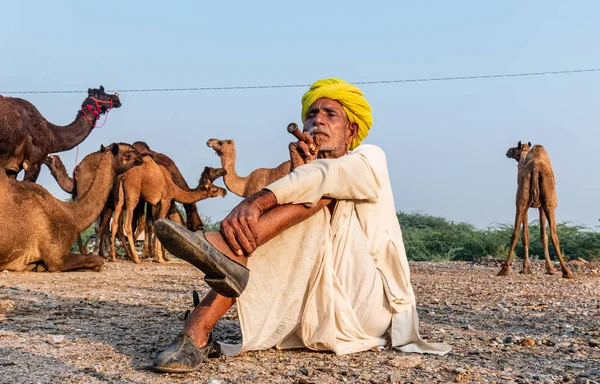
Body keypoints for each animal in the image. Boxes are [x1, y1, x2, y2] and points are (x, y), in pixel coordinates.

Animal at [500, 141, 576, 280]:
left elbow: (532, 235)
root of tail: (535, 168)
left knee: (515, 233)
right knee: (554, 234)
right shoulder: (541, 206)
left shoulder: (531, 205)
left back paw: (504, 270)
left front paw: (528, 269)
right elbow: (541, 236)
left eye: (514, 149)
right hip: (550, 203)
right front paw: (548, 269)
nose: (508, 152)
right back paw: (566, 272)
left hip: (522, 201)